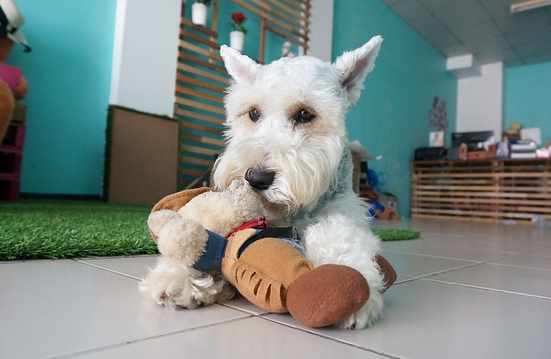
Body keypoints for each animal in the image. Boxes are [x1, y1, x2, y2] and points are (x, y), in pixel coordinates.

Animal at [140, 35, 386, 330]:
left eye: (305, 114)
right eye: (253, 113)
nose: (255, 178)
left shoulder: (345, 211)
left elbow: (340, 236)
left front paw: (350, 279)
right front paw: (177, 275)